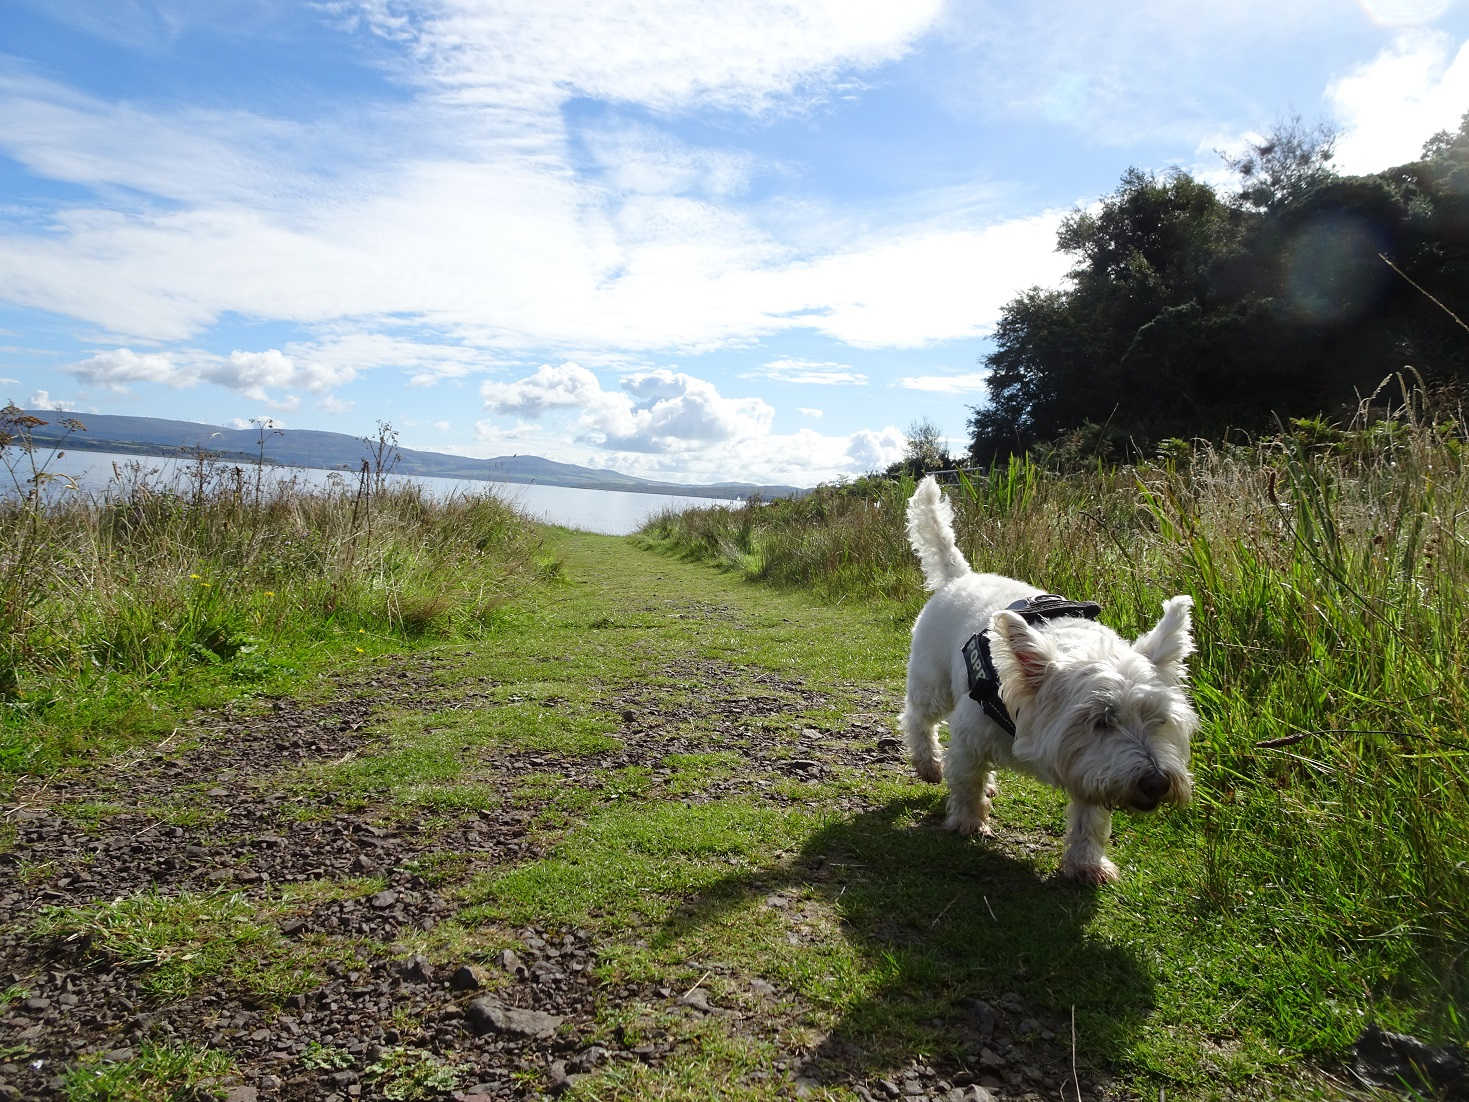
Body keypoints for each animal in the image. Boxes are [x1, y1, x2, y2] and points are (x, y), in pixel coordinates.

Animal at [893, 476, 1192, 887]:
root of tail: (961, 576)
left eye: (1159, 720)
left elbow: (1090, 820)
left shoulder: (1089, 768)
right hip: (931, 681)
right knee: (917, 718)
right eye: (1101, 720)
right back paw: (929, 763)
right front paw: (968, 822)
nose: (1157, 783)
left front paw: (1087, 864)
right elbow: (966, 782)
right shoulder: (971, 738)